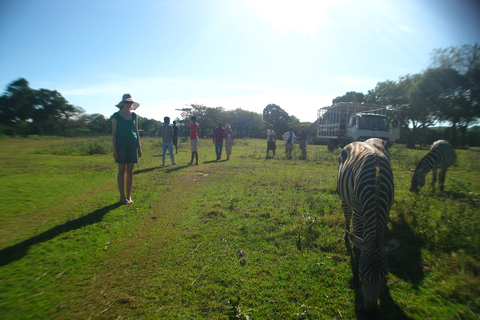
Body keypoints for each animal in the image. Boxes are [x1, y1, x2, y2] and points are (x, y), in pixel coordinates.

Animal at [338, 139, 398, 310]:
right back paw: (346, 236)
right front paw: (355, 278)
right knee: (347, 217)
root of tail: (359, 141)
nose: (371, 311)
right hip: (345, 198)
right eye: (363, 274)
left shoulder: (387, 208)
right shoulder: (359, 209)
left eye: (384, 275)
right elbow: (358, 245)